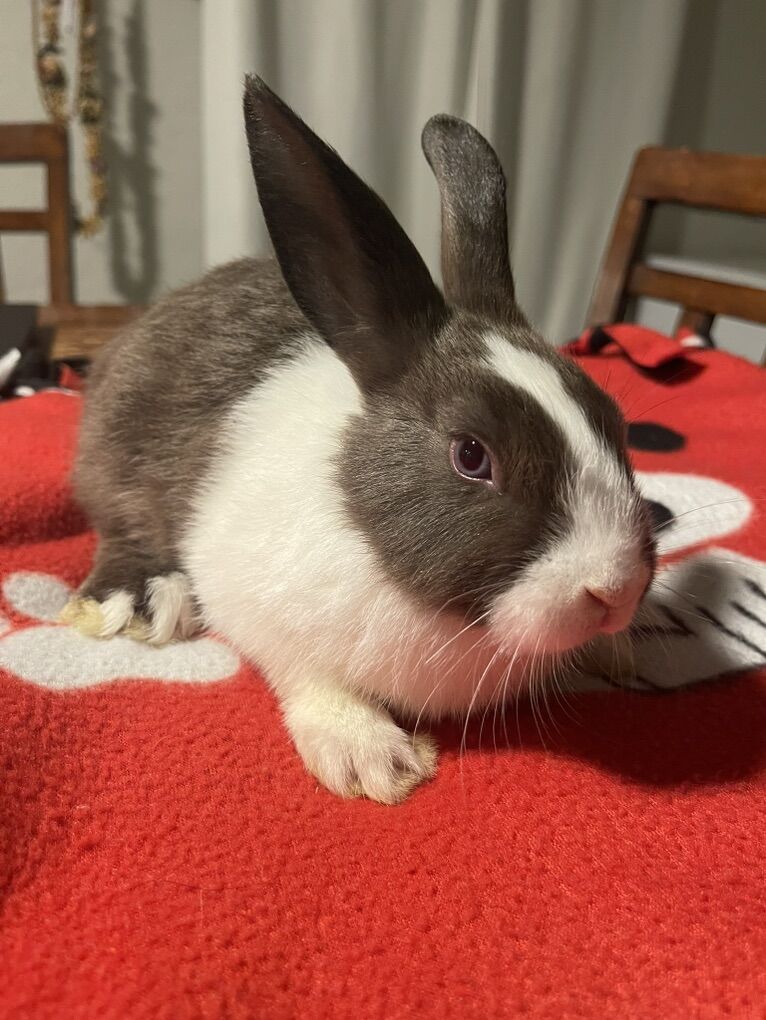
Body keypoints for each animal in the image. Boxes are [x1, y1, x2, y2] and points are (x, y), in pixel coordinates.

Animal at [68, 76, 655, 804]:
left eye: (614, 421)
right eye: (471, 456)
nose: (616, 591)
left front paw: (624, 654)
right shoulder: (256, 602)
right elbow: (309, 676)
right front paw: (375, 760)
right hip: (118, 461)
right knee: (122, 525)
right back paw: (140, 603)